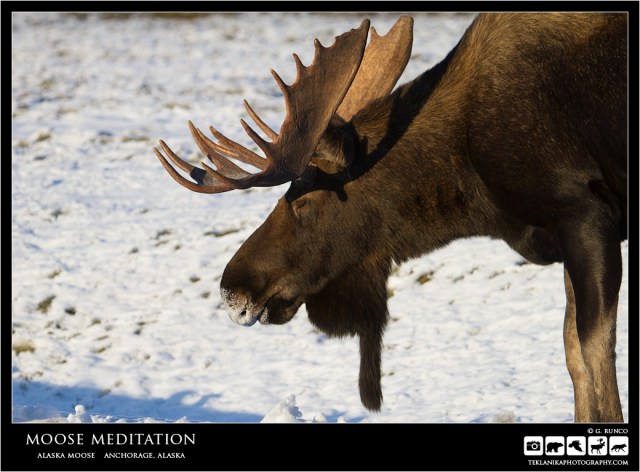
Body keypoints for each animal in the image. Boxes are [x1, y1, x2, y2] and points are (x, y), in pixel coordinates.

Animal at [154, 13, 627, 422]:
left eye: (303, 199)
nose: (232, 288)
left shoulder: (585, 215)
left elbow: (596, 355)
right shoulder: (562, 234)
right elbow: (573, 355)